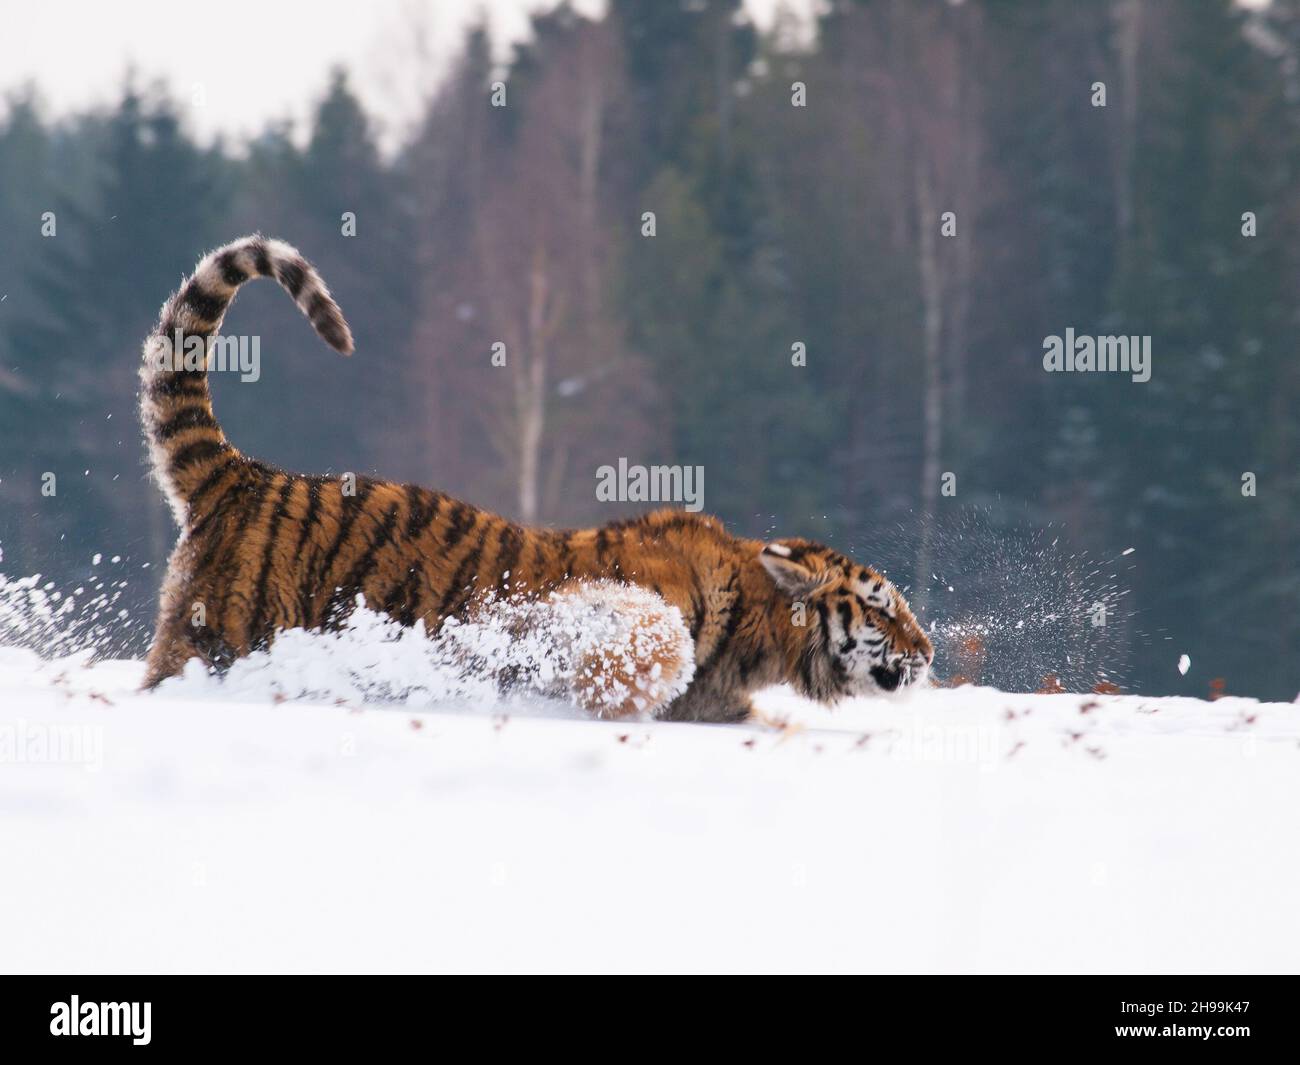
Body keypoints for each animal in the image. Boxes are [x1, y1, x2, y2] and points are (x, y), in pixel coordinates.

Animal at [139, 237, 935, 723]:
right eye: (883, 608)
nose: (929, 652)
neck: (754, 635)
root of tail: (243, 473)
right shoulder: (589, 610)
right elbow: (650, 642)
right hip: (218, 636)